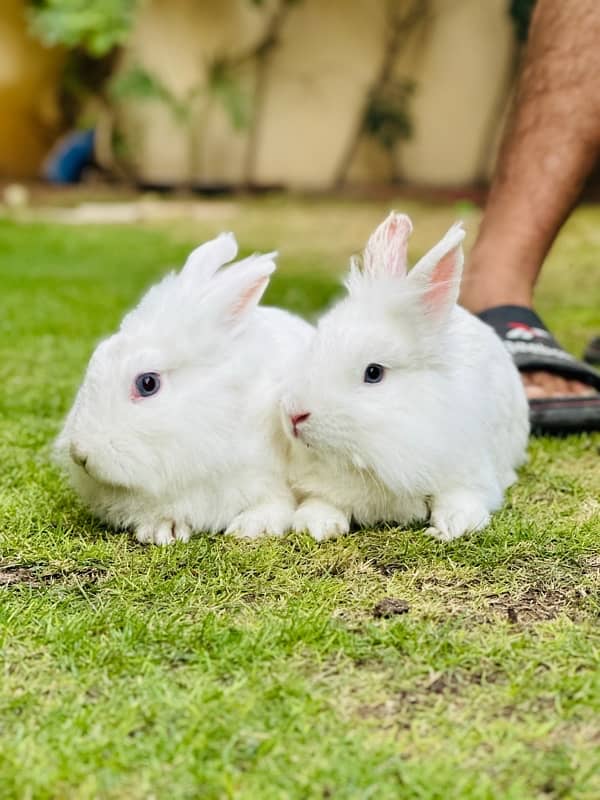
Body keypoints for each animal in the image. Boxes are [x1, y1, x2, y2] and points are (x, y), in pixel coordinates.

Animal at [282, 211, 528, 544]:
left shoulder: (468, 474)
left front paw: (450, 527)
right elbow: (322, 502)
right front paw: (317, 525)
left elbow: (458, 500)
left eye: (373, 373)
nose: (294, 415)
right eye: (314, 347)